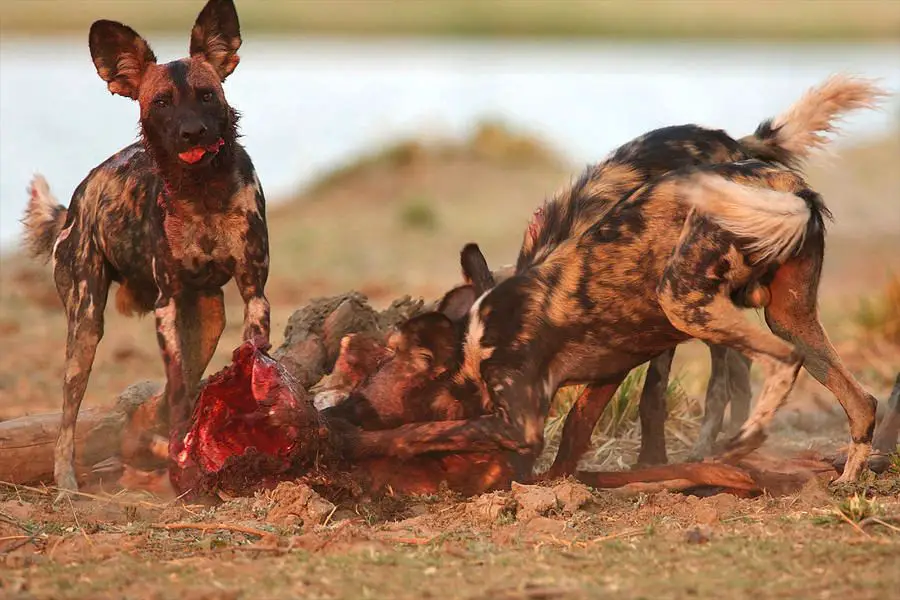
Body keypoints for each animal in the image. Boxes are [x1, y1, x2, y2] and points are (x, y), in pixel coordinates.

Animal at [20, 0, 268, 496]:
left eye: (206, 95)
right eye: (161, 103)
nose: (192, 132)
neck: (201, 194)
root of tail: (78, 199)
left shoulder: (254, 296)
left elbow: (248, 365)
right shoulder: (166, 304)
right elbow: (177, 391)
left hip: (210, 318)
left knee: (183, 383)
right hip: (85, 329)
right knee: (68, 419)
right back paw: (68, 483)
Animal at [342, 76, 884, 488]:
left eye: (387, 364)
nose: (354, 405)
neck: (474, 339)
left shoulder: (520, 421)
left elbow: (427, 431)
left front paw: (359, 442)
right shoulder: (607, 370)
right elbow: (576, 432)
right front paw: (559, 482)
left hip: (684, 303)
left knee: (765, 369)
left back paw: (736, 444)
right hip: (783, 315)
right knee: (858, 399)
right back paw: (838, 477)